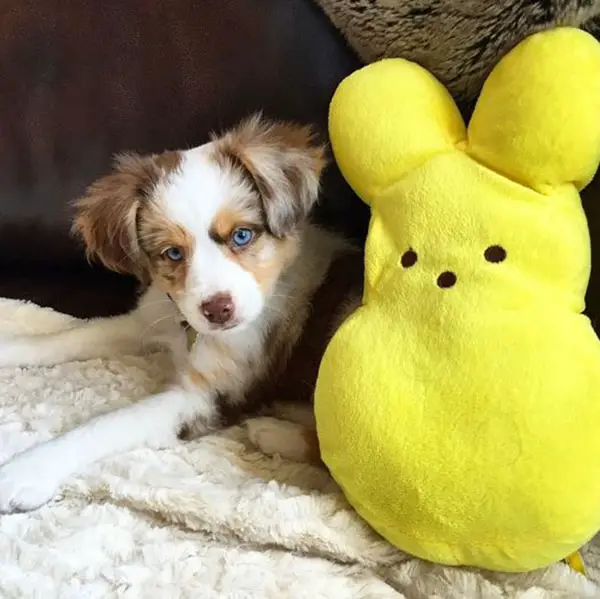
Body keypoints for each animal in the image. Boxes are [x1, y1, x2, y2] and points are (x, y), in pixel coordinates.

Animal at [0, 115, 364, 512]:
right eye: (173, 253)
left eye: (241, 235)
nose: (219, 310)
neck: (188, 330)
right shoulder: (149, 319)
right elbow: (72, 336)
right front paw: (10, 348)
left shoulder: (208, 395)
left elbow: (110, 423)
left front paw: (25, 471)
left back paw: (272, 433)